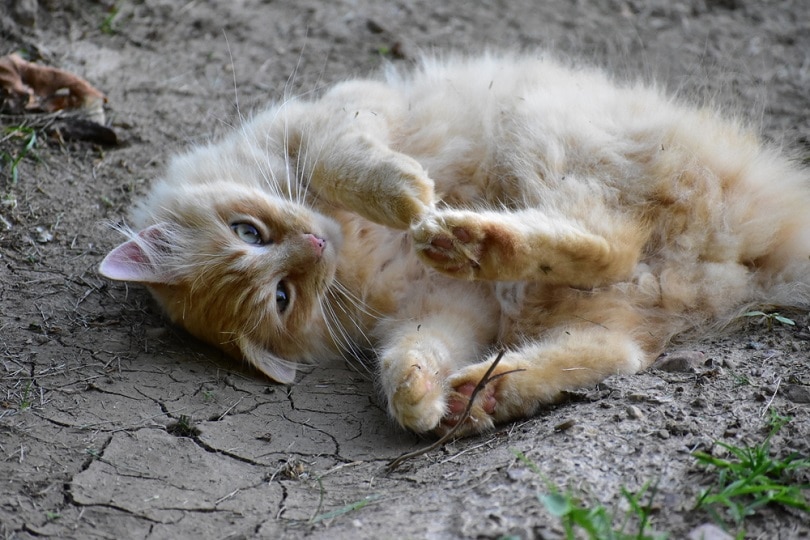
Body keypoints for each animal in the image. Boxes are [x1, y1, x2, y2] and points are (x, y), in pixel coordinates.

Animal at [99, 52, 808, 436]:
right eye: (283, 296)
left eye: (248, 232)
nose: (314, 244)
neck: (355, 252)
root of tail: (766, 249)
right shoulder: (442, 311)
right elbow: (411, 356)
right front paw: (418, 401)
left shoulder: (340, 115)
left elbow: (343, 161)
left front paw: (408, 198)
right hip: (593, 297)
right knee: (615, 335)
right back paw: (479, 386)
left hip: (545, 131)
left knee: (612, 244)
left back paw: (461, 236)